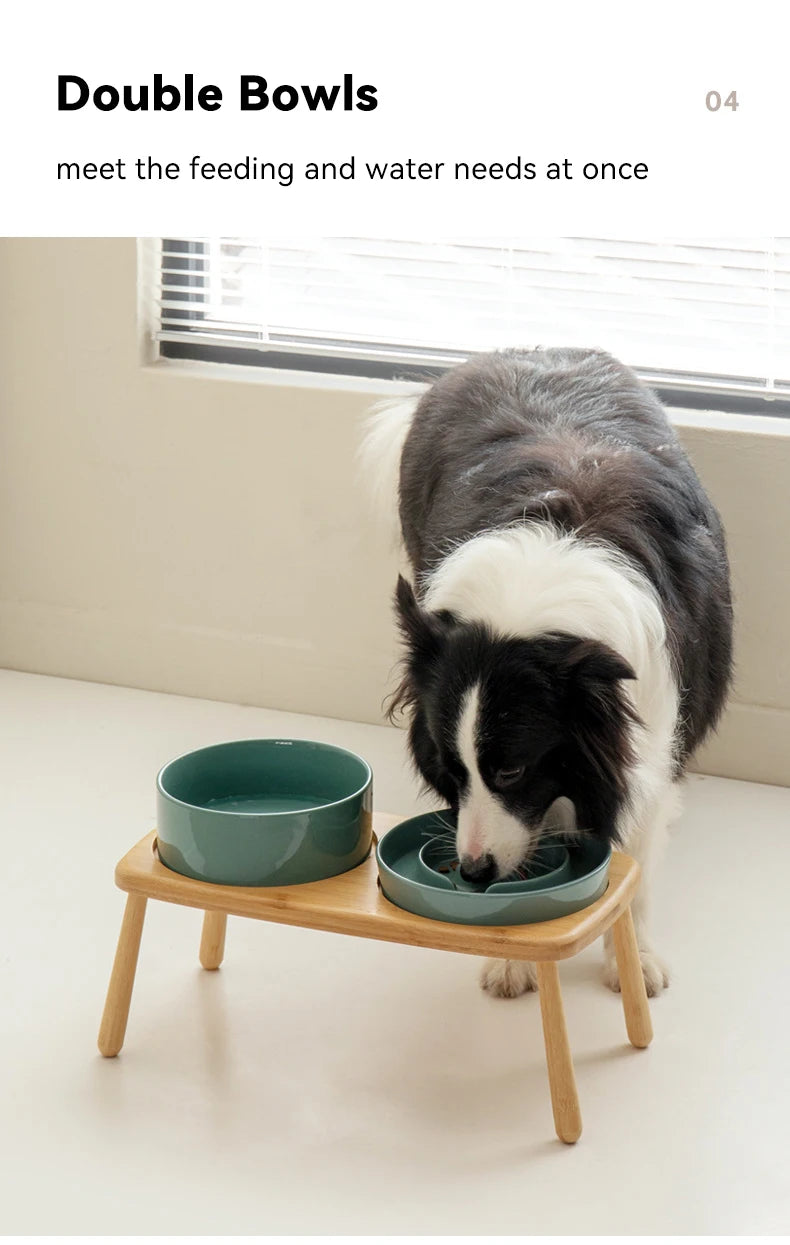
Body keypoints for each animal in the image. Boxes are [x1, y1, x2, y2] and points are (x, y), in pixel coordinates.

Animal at [360, 346, 731, 996]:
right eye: (449, 767)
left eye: (511, 769)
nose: (474, 872)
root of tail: (515, 352)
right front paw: (512, 956)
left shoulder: (653, 730)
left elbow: (637, 851)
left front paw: (635, 962)